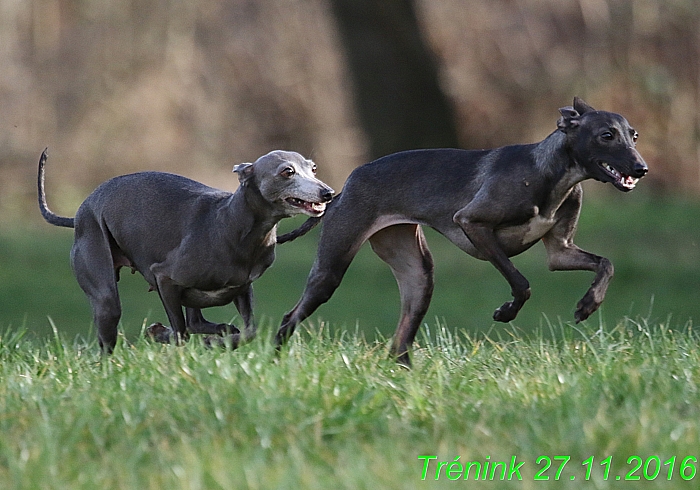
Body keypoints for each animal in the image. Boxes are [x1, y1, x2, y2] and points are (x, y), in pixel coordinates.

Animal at [37, 149, 334, 352]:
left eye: (313, 168)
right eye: (287, 171)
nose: (328, 193)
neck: (231, 224)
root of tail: (80, 212)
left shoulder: (242, 287)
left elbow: (250, 331)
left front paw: (217, 341)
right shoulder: (164, 278)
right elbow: (180, 333)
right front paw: (167, 336)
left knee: (196, 321)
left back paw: (217, 332)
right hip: (105, 290)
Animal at [276, 97, 648, 366]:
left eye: (634, 135)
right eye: (606, 135)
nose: (641, 168)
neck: (550, 172)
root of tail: (343, 189)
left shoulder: (561, 251)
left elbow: (606, 264)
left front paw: (588, 304)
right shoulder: (472, 223)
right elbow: (521, 283)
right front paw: (506, 312)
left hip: (419, 278)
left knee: (399, 346)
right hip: (331, 269)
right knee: (289, 317)